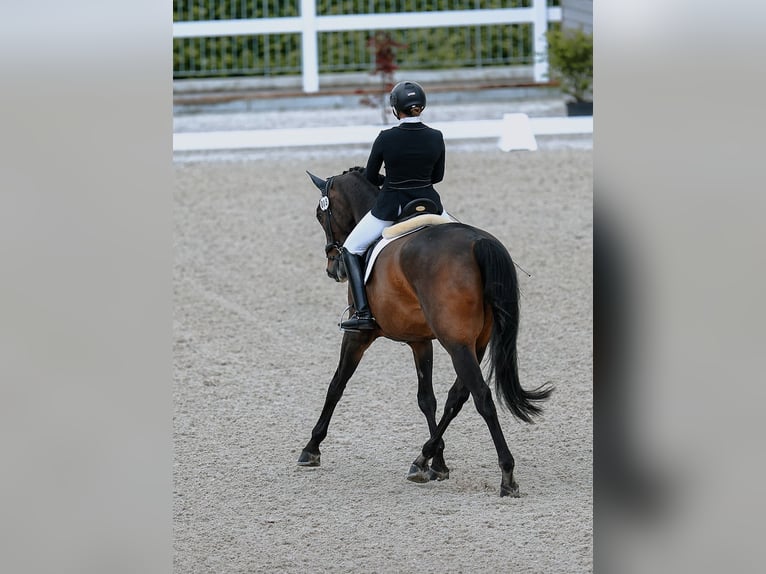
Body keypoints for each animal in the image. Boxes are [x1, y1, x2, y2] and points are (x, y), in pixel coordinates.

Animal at [296, 168, 556, 500]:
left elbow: (336, 386)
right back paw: (422, 459)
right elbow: (427, 399)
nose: (333, 268)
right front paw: (439, 464)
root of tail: (478, 243)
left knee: (482, 396)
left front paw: (311, 448)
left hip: (456, 344)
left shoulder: (358, 337)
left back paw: (506, 475)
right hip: (475, 343)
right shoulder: (420, 341)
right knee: (457, 396)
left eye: (320, 215)